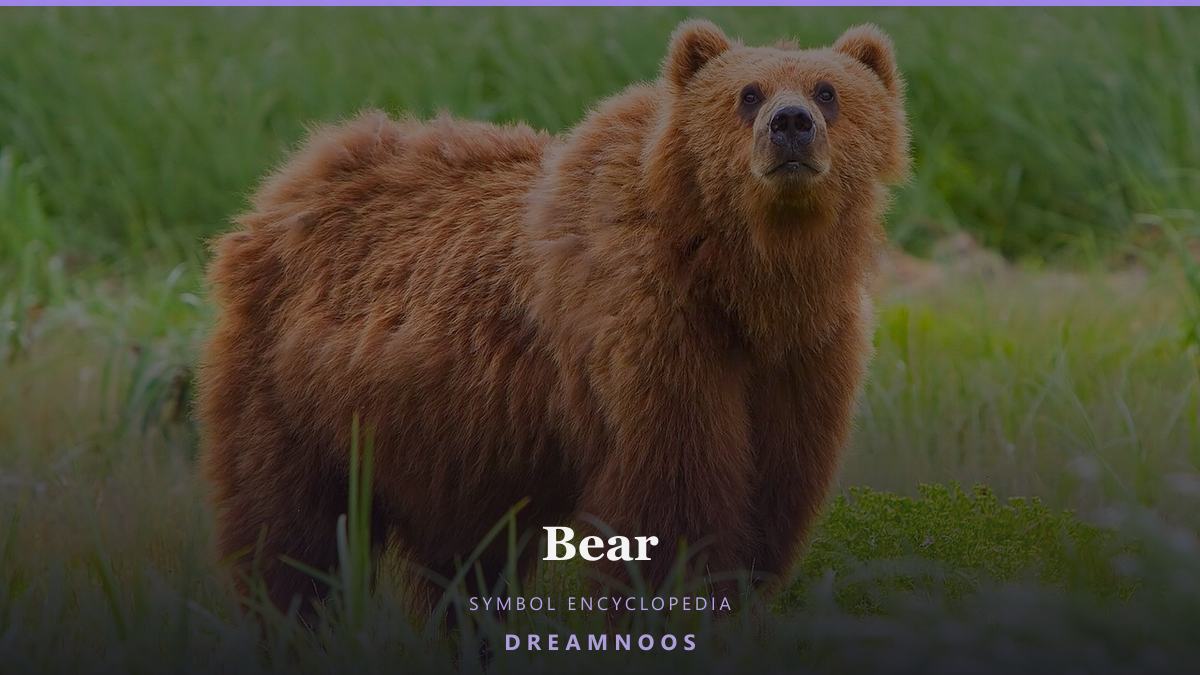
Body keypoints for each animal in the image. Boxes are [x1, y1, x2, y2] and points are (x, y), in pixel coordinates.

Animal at [197, 19, 909, 615]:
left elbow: (772, 498)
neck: (744, 283)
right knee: (291, 532)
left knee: (462, 565)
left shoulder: (804, 358)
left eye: (827, 90)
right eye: (748, 94)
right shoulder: (650, 333)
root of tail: (288, 180)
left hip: (451, 443)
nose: (791, 124)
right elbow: (672, 504)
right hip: (296, 395)